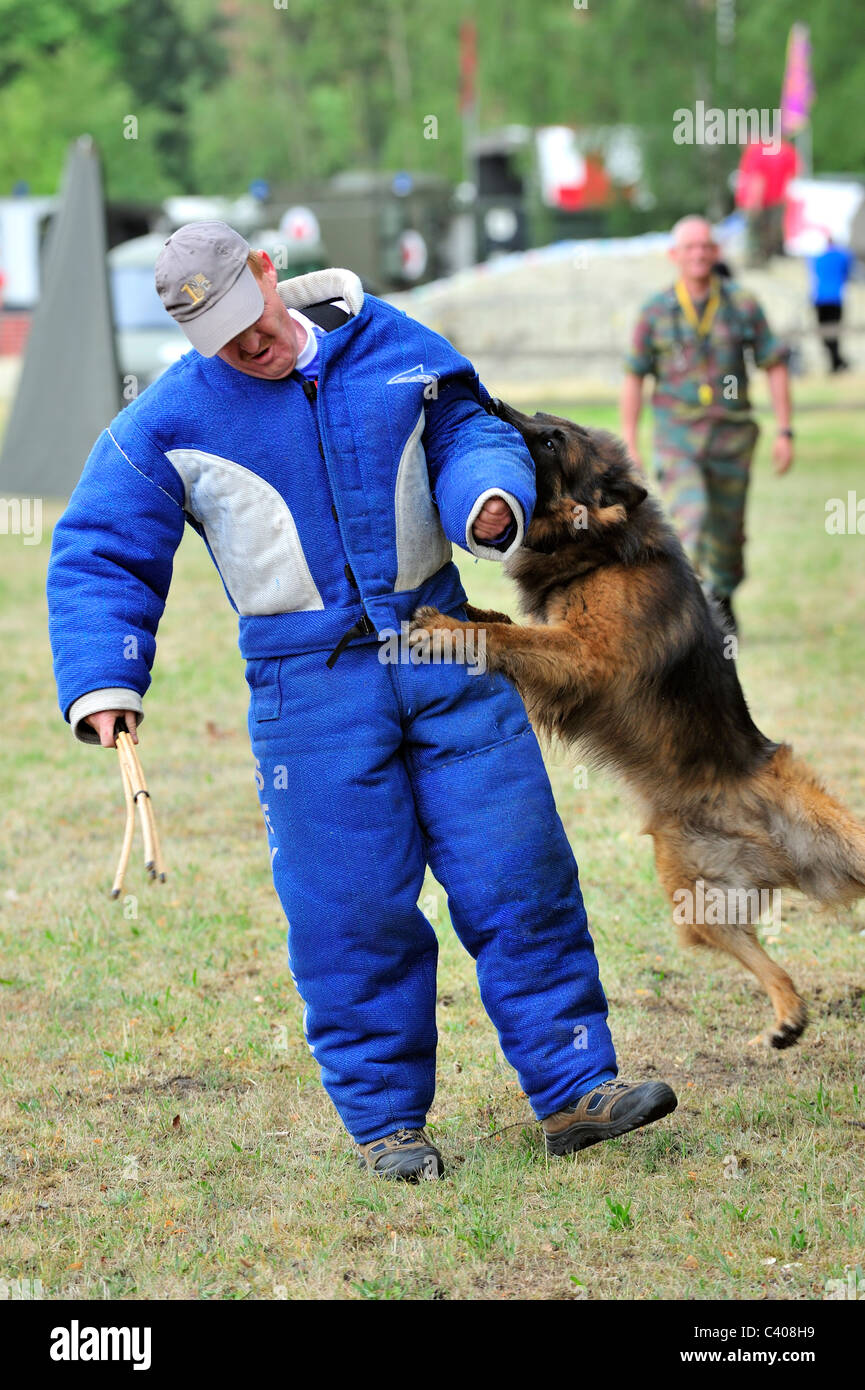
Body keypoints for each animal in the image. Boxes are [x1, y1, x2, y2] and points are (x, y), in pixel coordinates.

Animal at [411, 397, 865, 1045]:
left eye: (552, 441)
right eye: (540, 419)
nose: (487, 402)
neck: (603, 547)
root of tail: (754, 821)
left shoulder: (585, 656)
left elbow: (507, 635)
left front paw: (448, 628)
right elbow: (503, 622)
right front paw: (460, 611)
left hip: (833, 834)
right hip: (690, 897)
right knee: (756, 953)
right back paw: (787, 1016)